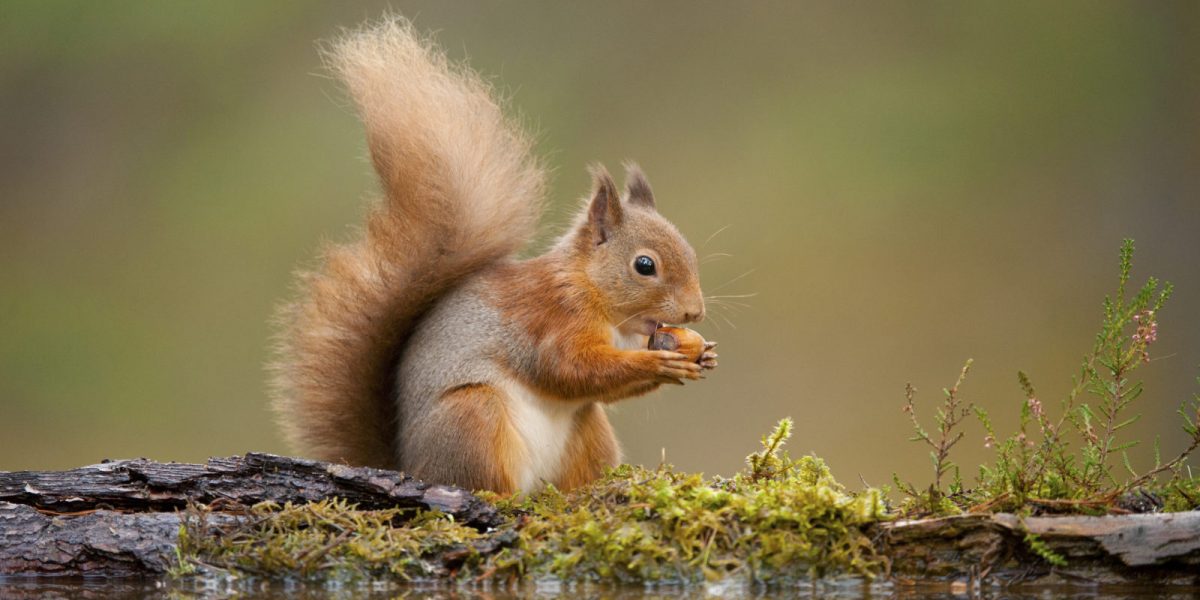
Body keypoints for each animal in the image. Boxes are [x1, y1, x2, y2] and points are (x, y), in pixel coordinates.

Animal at [272, 18, 715, 494]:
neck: (593, 293)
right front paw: (658, 361)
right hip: (473, 416)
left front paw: (702, 354)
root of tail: (412, 465)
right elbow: (568, 369)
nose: (694, 312)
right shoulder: (550, 320)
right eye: (644, 265)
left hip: (588, 429)